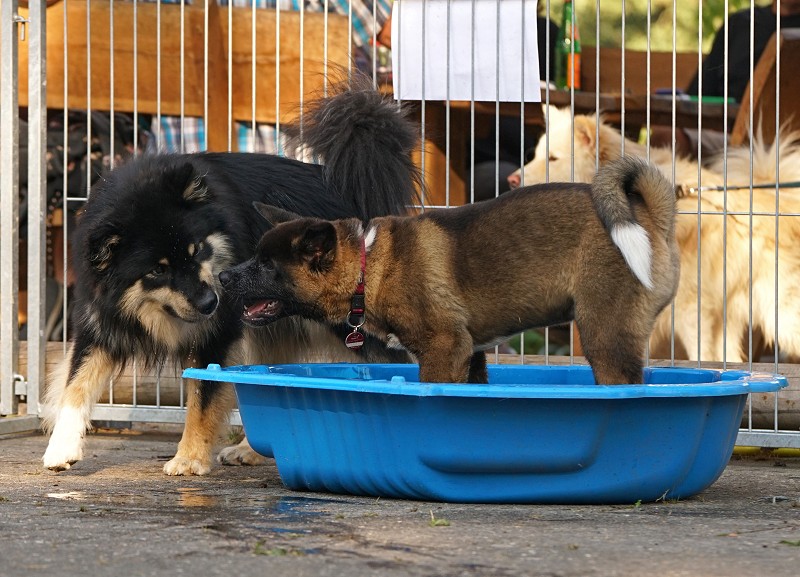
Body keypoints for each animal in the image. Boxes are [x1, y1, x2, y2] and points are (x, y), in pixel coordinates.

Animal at [220, 155, 680, 384]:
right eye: (255, 257)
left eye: (267, 267)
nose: (223, 277)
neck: (371, 264)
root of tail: (651, 217)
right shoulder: (471, 354)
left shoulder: (444, 349)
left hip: (605, 336)